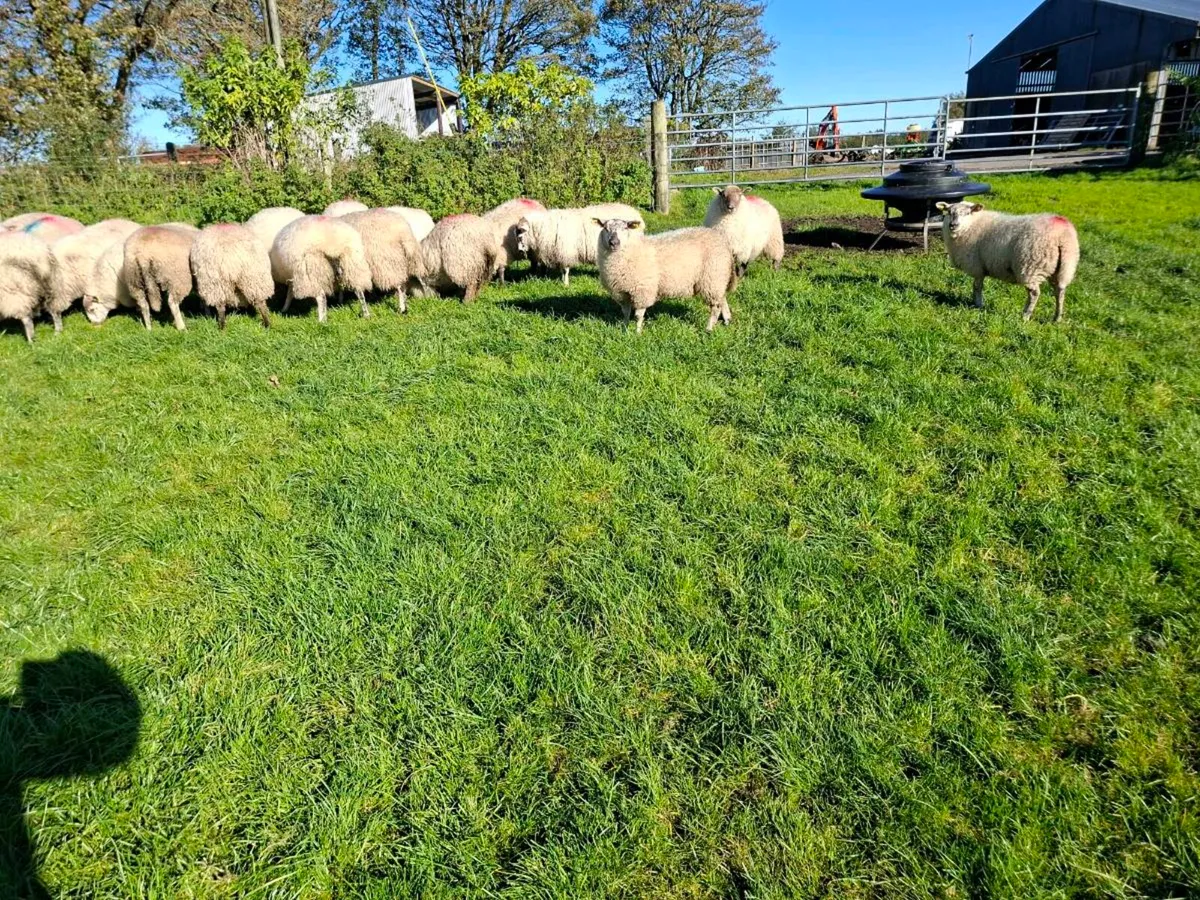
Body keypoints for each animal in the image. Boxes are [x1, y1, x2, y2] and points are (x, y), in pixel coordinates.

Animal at [515, 203, 644, 287]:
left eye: (520, 236)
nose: (520, 251)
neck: (544, 227)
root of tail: (637, 215)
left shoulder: (565, 251)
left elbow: (565, 270)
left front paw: (565, 284)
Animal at [594, 218, 737, 334]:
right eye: (605, 228)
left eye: (625, 228)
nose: (614, 242)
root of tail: (722, 240)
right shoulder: (622, 292)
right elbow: (626, 313)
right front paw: (624, 329)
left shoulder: (642, 291)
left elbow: (638, 316)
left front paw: (637, 333)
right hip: (718, 280)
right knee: (722, 300)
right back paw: (727, 320)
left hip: (713, 278)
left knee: (716, 307)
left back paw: (709, 328)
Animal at [937, 201, 1080, 323]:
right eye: (949, 212)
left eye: (967, 213)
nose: (953, 225)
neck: (972, 224)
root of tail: (1062, 234)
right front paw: (977, 304)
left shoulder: (977, 266)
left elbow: (977, 287)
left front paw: (978, 305)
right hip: (1063, 267)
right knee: (1060, 291)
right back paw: (1057, 318)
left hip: (1031, 266)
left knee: (1034, 293)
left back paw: (1025, 316)